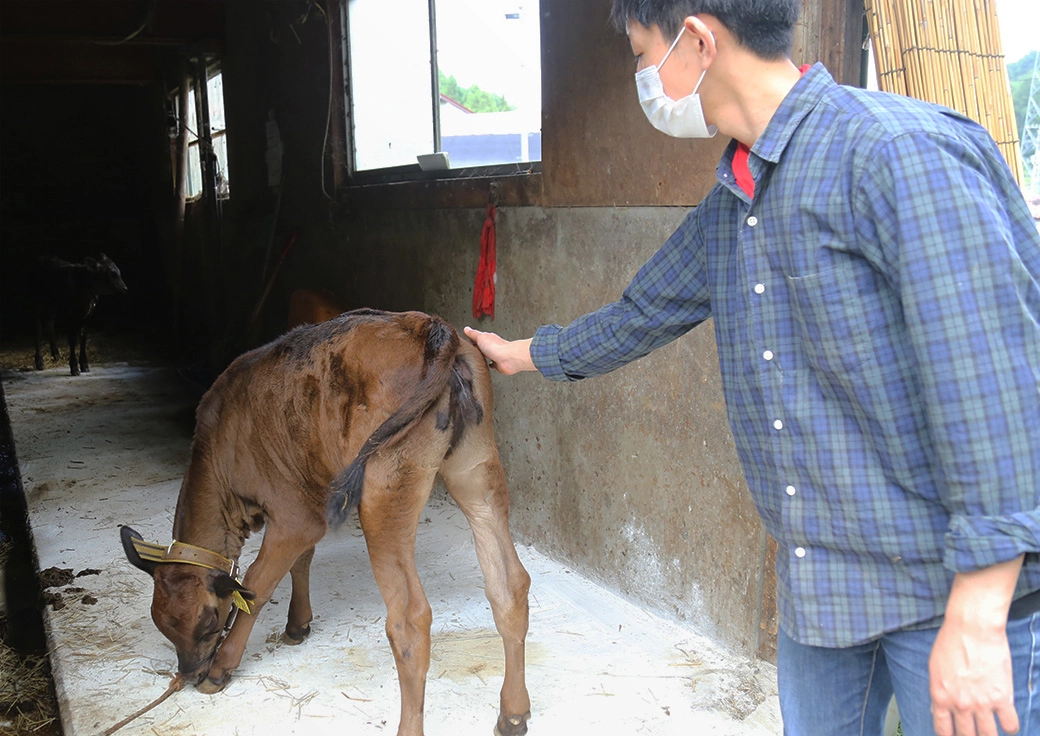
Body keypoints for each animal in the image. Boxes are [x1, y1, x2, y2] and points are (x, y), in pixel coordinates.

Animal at [119, 309, 532, 736]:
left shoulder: (293, 515)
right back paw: (513, 713)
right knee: (509, 585)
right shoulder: (312, 499)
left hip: (385, 491)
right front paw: (297, 625)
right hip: (476, 469)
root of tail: (431, 328)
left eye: (208, 623)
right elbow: (302, 562)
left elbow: (257, 584)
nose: (189, 674)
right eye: (164, 628)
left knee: (410, 619)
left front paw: (221, 668)